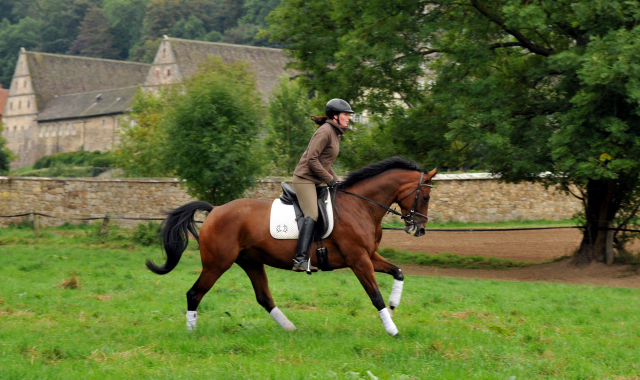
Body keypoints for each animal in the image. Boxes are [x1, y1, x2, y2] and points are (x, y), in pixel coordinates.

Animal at [146, 157, 438, 336]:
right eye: (425, 196)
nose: (420, 229)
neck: (360, 205)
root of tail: (215, 209)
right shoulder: (358, 260)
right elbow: (374, 295)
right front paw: (392, 329)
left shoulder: (368, 256)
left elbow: (398, 271)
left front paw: (394, 303)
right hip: (217, 263)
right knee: (194, 293)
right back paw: (191, 333)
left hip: (251, 261)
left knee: (264, 297)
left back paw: (290, 328)